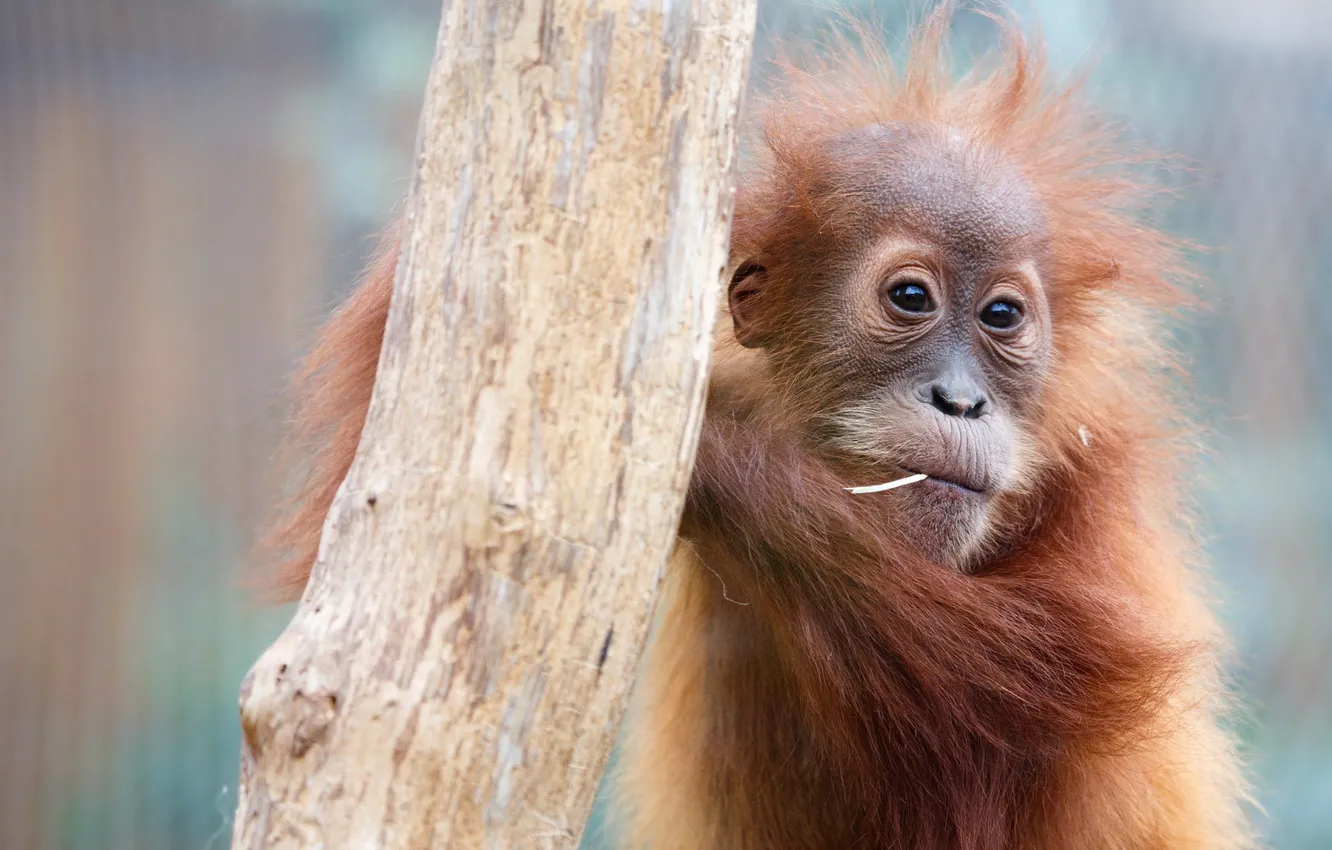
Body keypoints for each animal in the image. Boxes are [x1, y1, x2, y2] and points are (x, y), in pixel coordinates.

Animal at [260, 12, 1256, 850]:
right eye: (910, 297)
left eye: (1003, 316)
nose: (962, 402)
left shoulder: (1097, 460)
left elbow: (1052, 676)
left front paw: (701, 451)